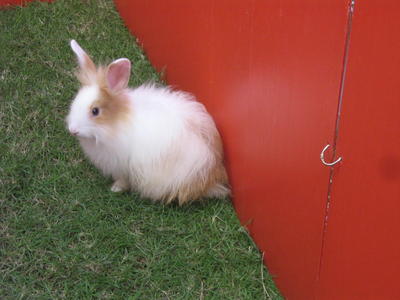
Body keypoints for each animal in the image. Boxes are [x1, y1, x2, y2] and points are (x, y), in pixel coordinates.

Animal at [65, 39, 228, 205]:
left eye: (95, 111)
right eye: (75, 100)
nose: (72, 130)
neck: (113, 124)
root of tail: (211, 179)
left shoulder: (123, 166)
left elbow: (123, 180)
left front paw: (115, 188)